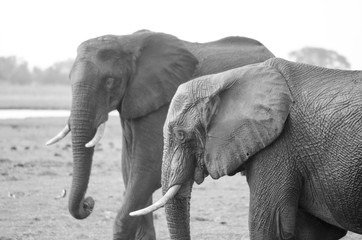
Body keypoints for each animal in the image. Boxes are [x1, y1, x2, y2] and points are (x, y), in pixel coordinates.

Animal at [46, 30, 274, 240]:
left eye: (110, 81)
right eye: (68, 79)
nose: (88, 203)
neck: (126, 41)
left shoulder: (162, 103)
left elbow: (148, 169)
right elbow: (128, 169)